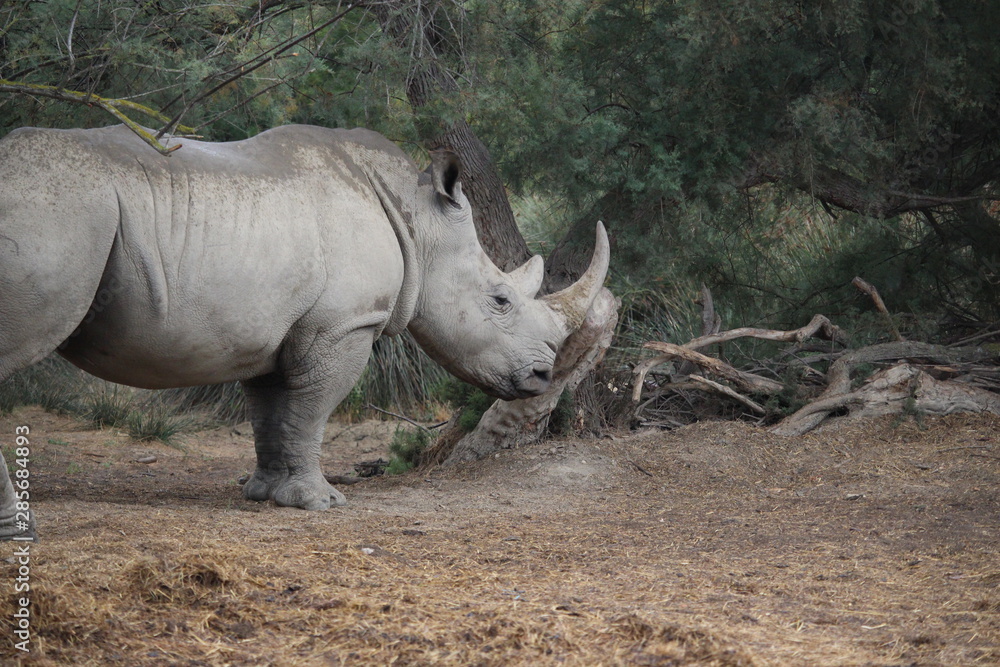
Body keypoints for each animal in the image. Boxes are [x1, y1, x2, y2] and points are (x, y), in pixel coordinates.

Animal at [0, 124, 608, 539]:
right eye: (500, 301)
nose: (542, 376)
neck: (419, 221)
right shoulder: (342, 325)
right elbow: (312, 411)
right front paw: (320, 504)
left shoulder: (268, 332)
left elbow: (274, 414)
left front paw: (266, 495)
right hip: (59, 213)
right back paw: (17, 529)